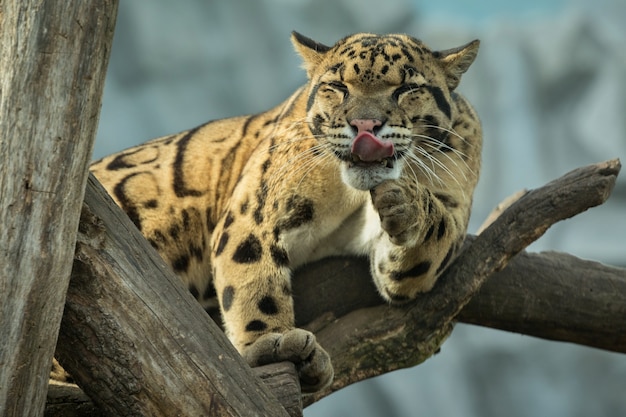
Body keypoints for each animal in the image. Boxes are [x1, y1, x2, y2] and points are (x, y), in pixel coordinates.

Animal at [91, 31, 482, 390]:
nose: (365, 126)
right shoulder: (256, 210)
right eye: (337, 87)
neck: (353, 194)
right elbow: (254, 276)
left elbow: (425, 252)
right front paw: (272, 342)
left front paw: (408, 206)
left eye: (406, 88)